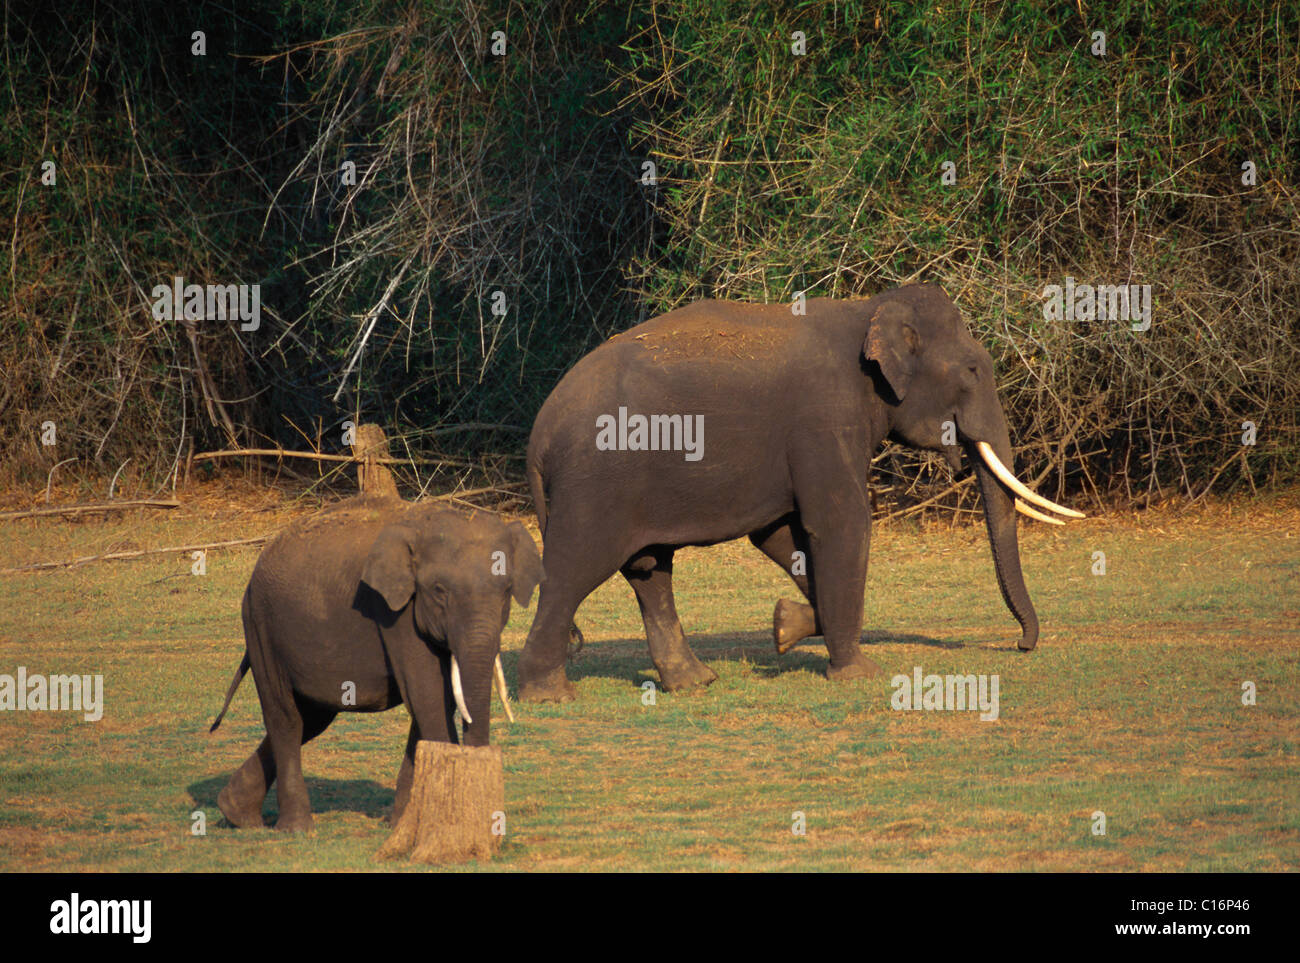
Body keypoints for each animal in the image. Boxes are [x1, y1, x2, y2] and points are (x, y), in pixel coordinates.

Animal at [209, 496, 543, 826]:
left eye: (507, 591)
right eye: (439, 591)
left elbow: (436, 700)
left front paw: (403, 821)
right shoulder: (395, 612)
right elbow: (428, 697)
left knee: (312, 719)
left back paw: (236, 813)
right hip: (260, 625)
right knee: (285, 718)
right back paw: (296, 828)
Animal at [512, 282, 1081, 701]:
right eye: (973, 369)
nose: (1021, 645)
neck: (868, 308)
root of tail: (540, 432)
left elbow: (781, 536)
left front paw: (784, 625)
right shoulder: (824, 418)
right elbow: (841, 524)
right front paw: (860, 674)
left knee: (650, 571)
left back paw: (695, 683)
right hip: (595, 483)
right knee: (576, 570)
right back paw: (550, 695)